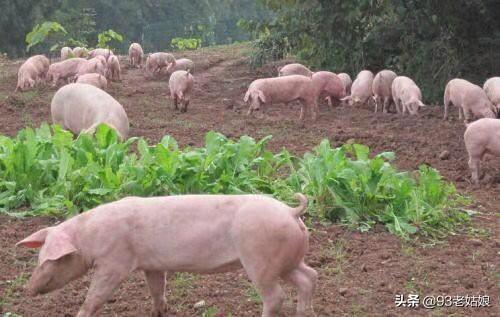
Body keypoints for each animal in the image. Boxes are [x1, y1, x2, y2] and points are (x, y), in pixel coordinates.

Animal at [16, 193, 316, 316]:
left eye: (51, 260)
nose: (27, 289)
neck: (87, 238)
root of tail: (290, 211)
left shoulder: (114, 263)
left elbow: (96, 296)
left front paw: (80, 314)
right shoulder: (152, 265)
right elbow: (157, 289)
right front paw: (160, 312)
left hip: (260, 259)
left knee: (276, 296)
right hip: (288, 261)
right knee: (309, 276)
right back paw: (304, 312)